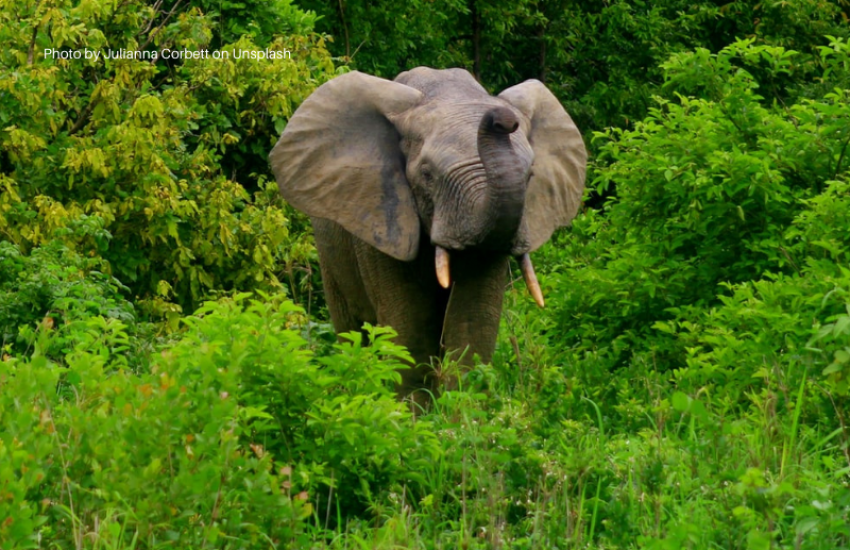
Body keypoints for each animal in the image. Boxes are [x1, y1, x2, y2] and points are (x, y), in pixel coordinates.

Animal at [269, 67, 586, 404]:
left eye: (530, 176)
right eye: (427, 175)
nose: (502, 119)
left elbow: (472, 325)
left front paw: (462, 415)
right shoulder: (384, 222)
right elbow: (411, 330)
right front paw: (410, 415)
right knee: (352, 330)